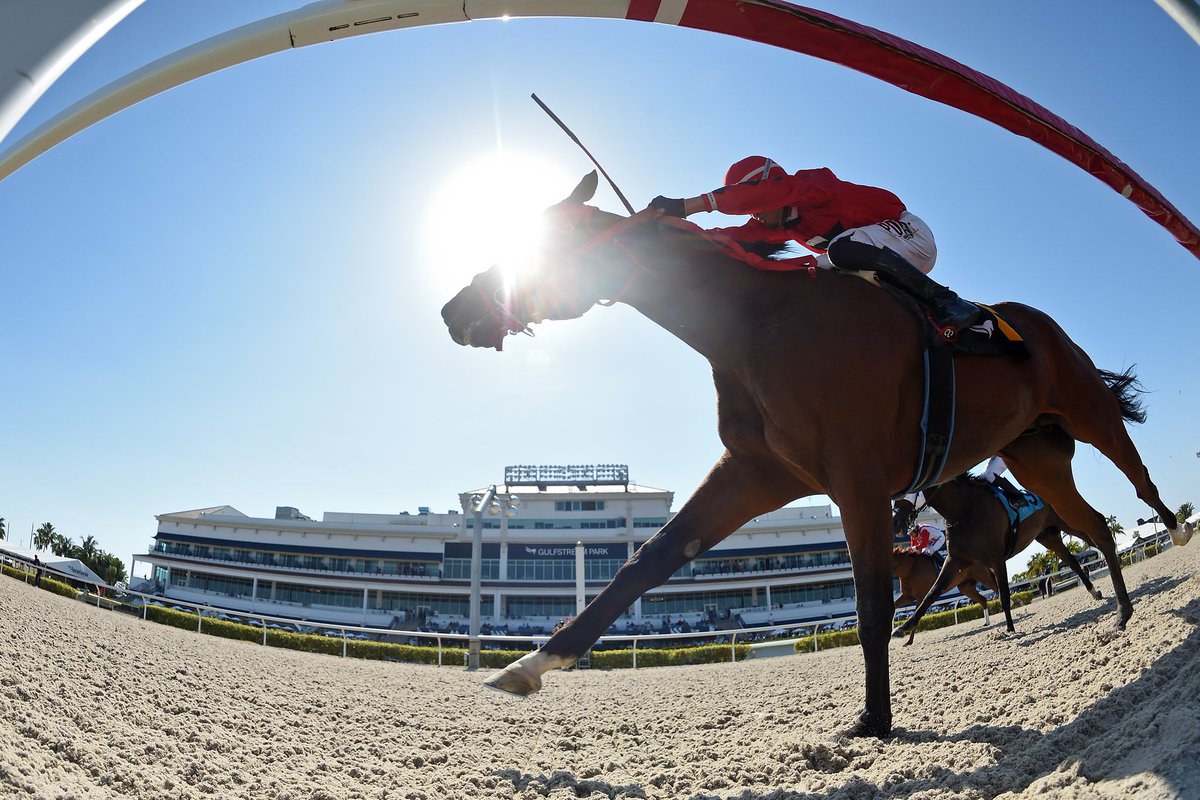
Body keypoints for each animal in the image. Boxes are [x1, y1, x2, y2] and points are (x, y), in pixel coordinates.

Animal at [892, 474, 1104, 642]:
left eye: (908, 489)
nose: (894, 522)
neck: (964, 510)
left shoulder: (996, 558)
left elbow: (1003, 593)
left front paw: (1010, 627)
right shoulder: (954, 560)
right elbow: (932, 592)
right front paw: (903, 628)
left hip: (1068, 522)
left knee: (1096, 534)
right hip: (1048, 537)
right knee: (1073, 561)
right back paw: (1093, 591)